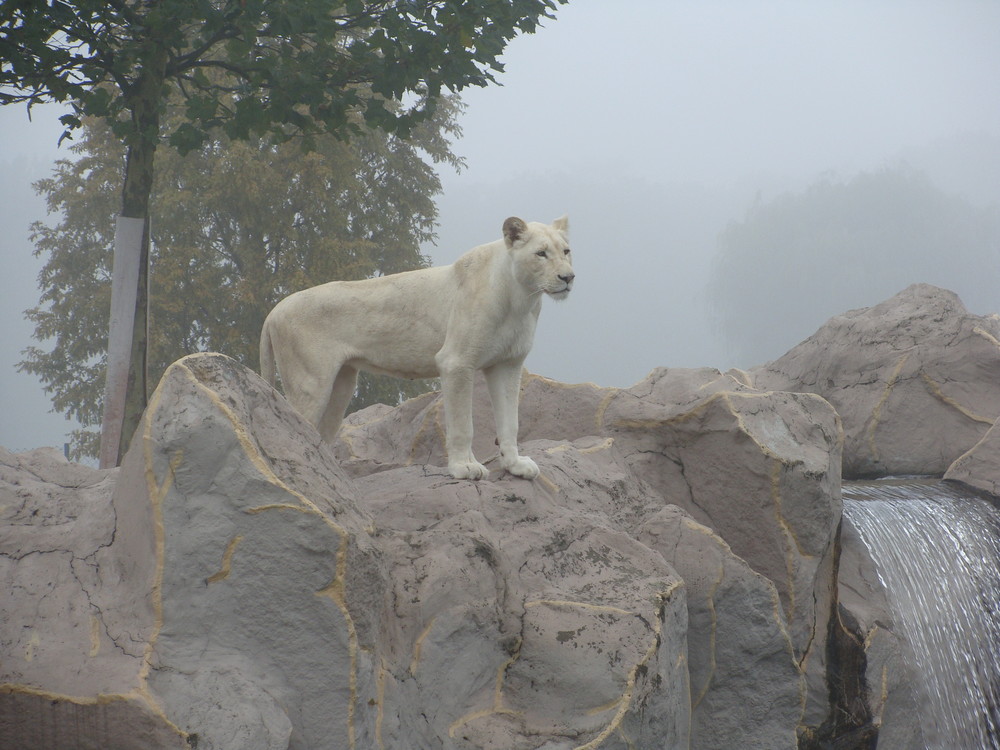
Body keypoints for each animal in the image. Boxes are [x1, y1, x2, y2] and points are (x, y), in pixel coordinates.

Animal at [258, 216, 576, 482]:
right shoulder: (455, 362)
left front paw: (516, 465)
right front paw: (464, 467)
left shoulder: (508, 364)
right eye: (541, 253)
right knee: (295, 427)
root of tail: (273, 311)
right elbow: (463, 424)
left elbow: (510, 421)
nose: (568, 278)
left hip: (341, 384)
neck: (521, 298)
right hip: (311, 383)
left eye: (566, 251)